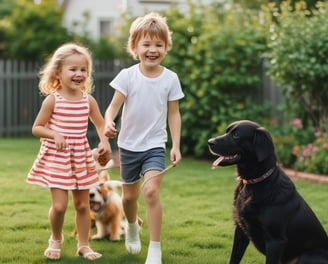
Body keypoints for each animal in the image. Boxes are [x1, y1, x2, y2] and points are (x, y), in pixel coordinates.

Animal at [208, 120, 328, 262]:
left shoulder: (275, 241)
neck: (254, 183)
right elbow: (234, 259)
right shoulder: (240, 231)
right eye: (227, 131)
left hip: (306, 256)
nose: (209, 142)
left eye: (236, 135)